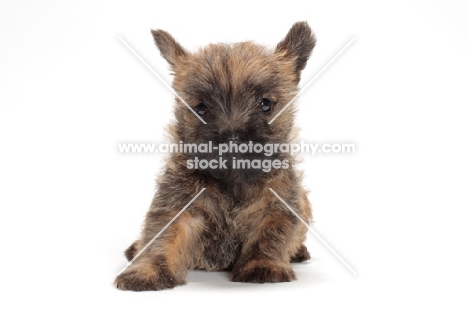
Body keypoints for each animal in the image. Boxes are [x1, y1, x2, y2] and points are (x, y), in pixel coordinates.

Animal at [115, 22, 316, 292]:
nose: (232, 138)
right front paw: (147, 270)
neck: (232, 181)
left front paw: (263, 265)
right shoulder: (178, 208)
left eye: (265, 104)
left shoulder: (279, 207)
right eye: (201, 108)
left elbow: (269, 237)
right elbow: (162, 238)